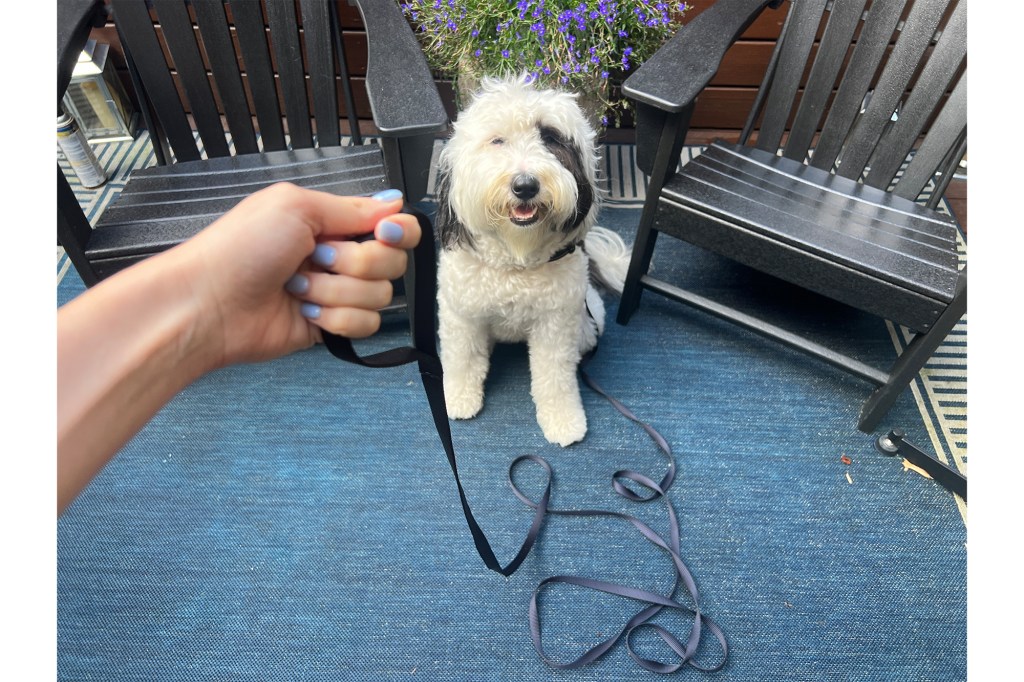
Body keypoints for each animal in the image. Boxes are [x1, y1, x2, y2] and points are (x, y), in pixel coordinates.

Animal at [434, 75, 626, 446]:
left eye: (550, 139)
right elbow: (462, 358)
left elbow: (555, 376)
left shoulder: (556, 323)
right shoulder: (461, 314)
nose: (525, 185)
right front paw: (457, 399)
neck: (514, 261)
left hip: (586, 324)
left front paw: (564, 420)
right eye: (497, 140)